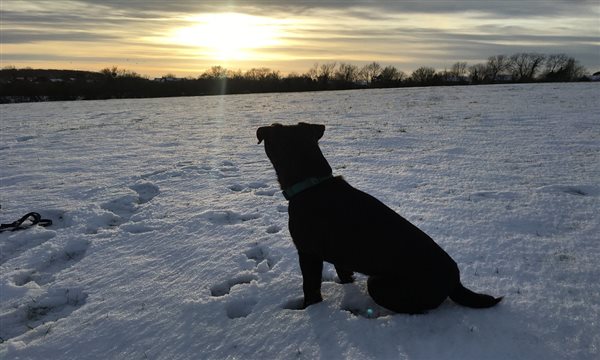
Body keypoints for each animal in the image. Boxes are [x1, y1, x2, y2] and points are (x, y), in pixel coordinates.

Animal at [258, 122, 502, 314]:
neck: (312, 183)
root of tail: (455, 279)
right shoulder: (339, 254)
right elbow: (343, 272)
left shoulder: (308, 253)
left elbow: (310, 287)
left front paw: (309, 309)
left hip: (378, 283)